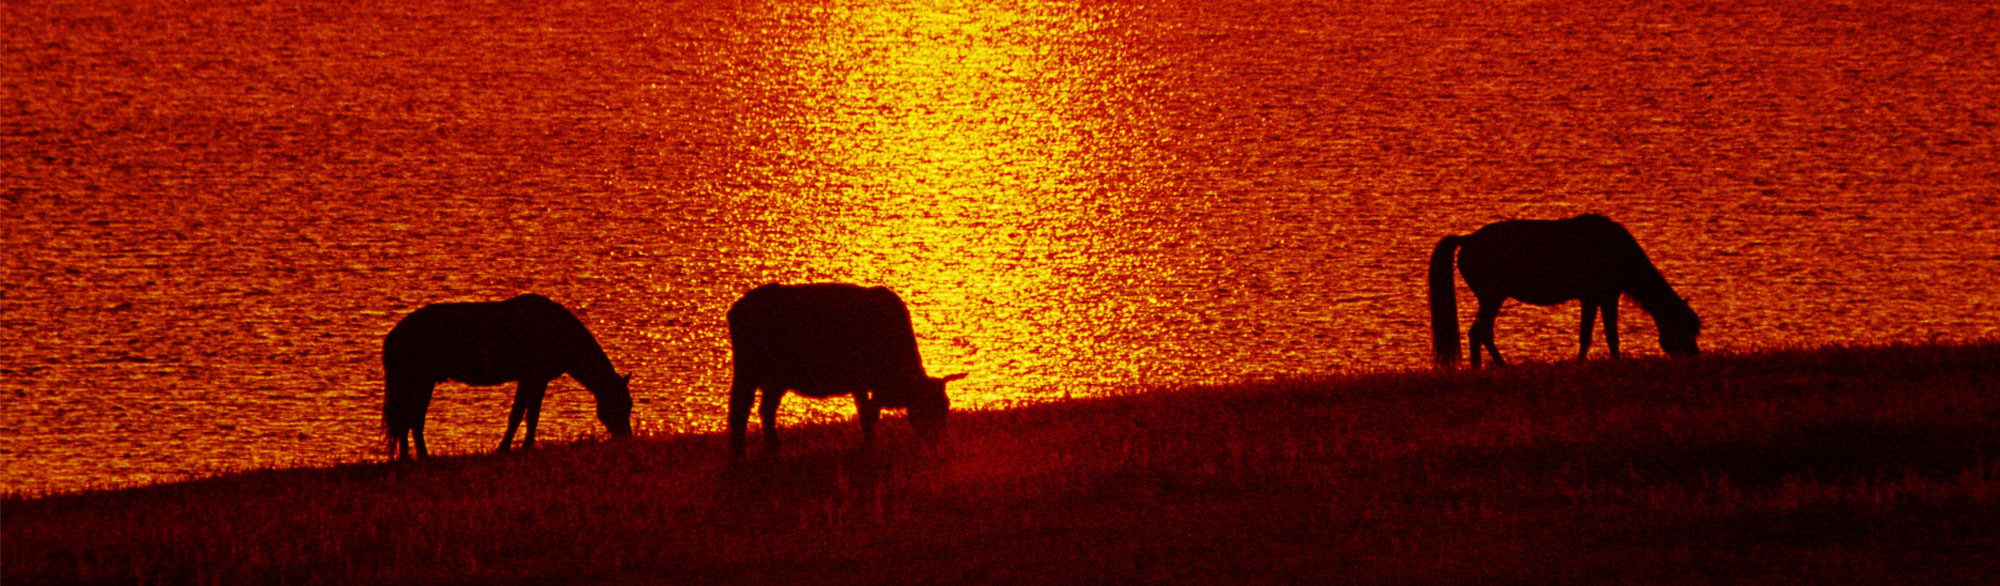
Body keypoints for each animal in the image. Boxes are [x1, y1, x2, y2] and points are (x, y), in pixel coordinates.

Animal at [382, 292, 632, 456]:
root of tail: (394, 334)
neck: (559, 331)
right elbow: (522, 415)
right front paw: (511, 448)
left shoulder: (533, 380)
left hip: (420, 382)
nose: (626, 437)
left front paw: (520, 447)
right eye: (619, 405)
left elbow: (526, 415)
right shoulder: (533, 378)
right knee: (411, 419)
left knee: (410, 420)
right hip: (420, 381)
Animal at [728, 282, 968, 452]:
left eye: (946, 405)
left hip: (775, 381)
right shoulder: (860, 383)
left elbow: (870, 413)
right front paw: (869, 444)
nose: (938, 441)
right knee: (740, 410)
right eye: (925, 408)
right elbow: (867, 413)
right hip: (747, 373)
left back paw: (772, 447)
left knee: (765, 410)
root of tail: (741, 304)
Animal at [1432, 214, 1696, 368]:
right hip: (1492, 296)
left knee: (1479, 332)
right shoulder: (1607, 296)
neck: (1619, 251)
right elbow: (1611, 335)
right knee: (1480, 332)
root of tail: (1467, 240)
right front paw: (1615, 361)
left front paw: (1581, 362)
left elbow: (1586, 334)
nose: (1695, 354)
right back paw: (1497, 365)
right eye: (1684, 329)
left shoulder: (1591, 298)